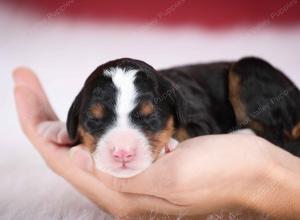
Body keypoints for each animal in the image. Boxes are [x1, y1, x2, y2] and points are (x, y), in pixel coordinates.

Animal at [67, 56, 300, 177]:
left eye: (151, 117)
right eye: (94, 119)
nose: (123, 153)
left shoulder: (202, 121)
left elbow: (186, 130)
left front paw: (166, 146)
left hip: (248, 70)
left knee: (278, 136)